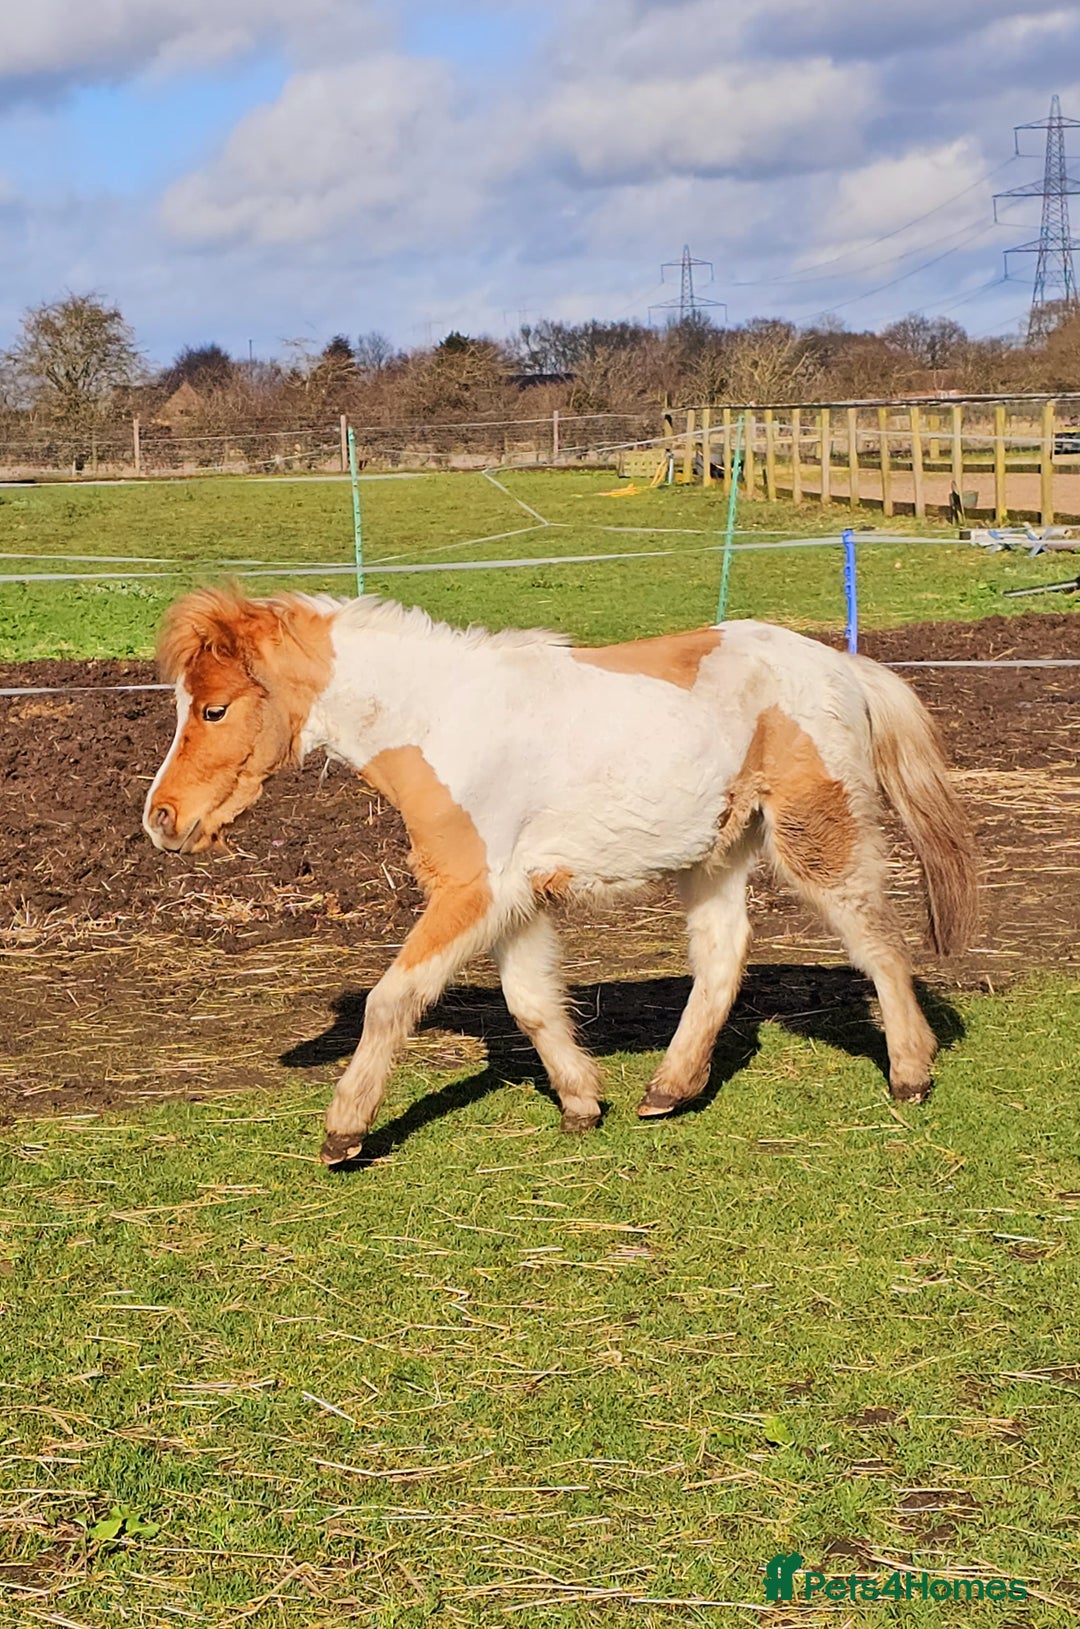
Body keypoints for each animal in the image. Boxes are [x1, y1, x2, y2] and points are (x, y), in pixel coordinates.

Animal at [143, 589, 977, 1166]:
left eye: (214, 709)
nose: (161, 818)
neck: (442, 721)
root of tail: (842, 665)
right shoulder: (517, 899)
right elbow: (531, 1002)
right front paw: (582, 1102)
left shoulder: (472, 888)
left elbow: (392, 1000)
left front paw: (343, 1132)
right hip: (715, 851)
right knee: (723, 953)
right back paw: (668, 1088)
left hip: (813, 829)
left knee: (875, 936)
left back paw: (910, 1072)